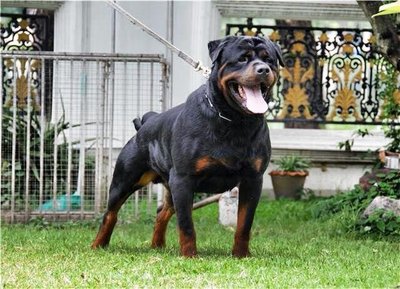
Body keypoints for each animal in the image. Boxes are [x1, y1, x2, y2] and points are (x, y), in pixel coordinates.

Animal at [90, 35, 284, 256]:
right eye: (243, 58)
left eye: (269, 60)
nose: (263, 70)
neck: (234, 120)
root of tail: (147, 122)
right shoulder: (183, 179)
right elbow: (186, 225)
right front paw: (190, 256)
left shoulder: (253, 179)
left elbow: (244, 223)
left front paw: (241, 255)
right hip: (126, 179)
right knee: (111, 213)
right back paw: (98, 244)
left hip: (168, 185)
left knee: (162, 212)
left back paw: (158, 245)